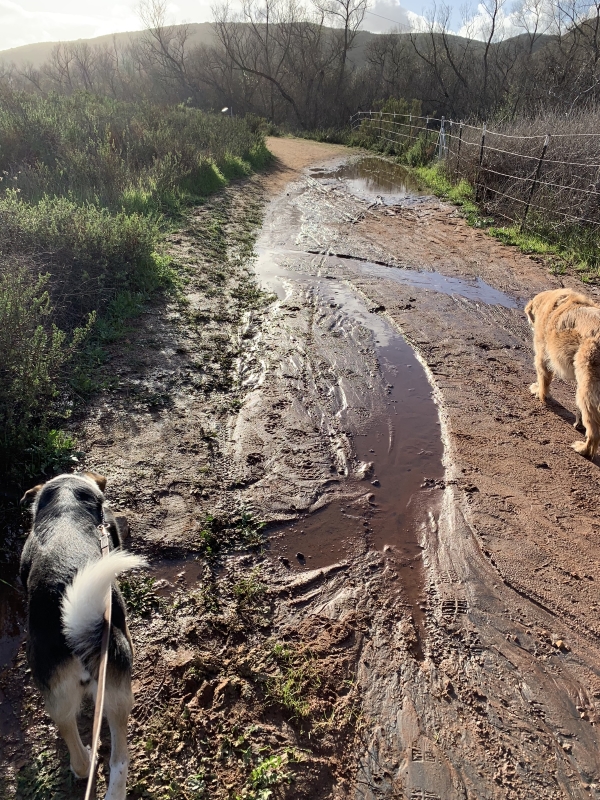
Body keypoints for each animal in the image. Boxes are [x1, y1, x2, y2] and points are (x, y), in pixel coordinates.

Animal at [20, 472, 146, 800]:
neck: (66, 498)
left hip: (57, 698)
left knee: (75, 753)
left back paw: (86, 760)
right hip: (117, 692)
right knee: (119, 758)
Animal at [525, 287, 600, 459]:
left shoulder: (542, 356)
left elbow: (543, 380)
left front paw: (539, 393)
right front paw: (579, 424)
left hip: (587, 391)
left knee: (594, 432)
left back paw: (584, 449)